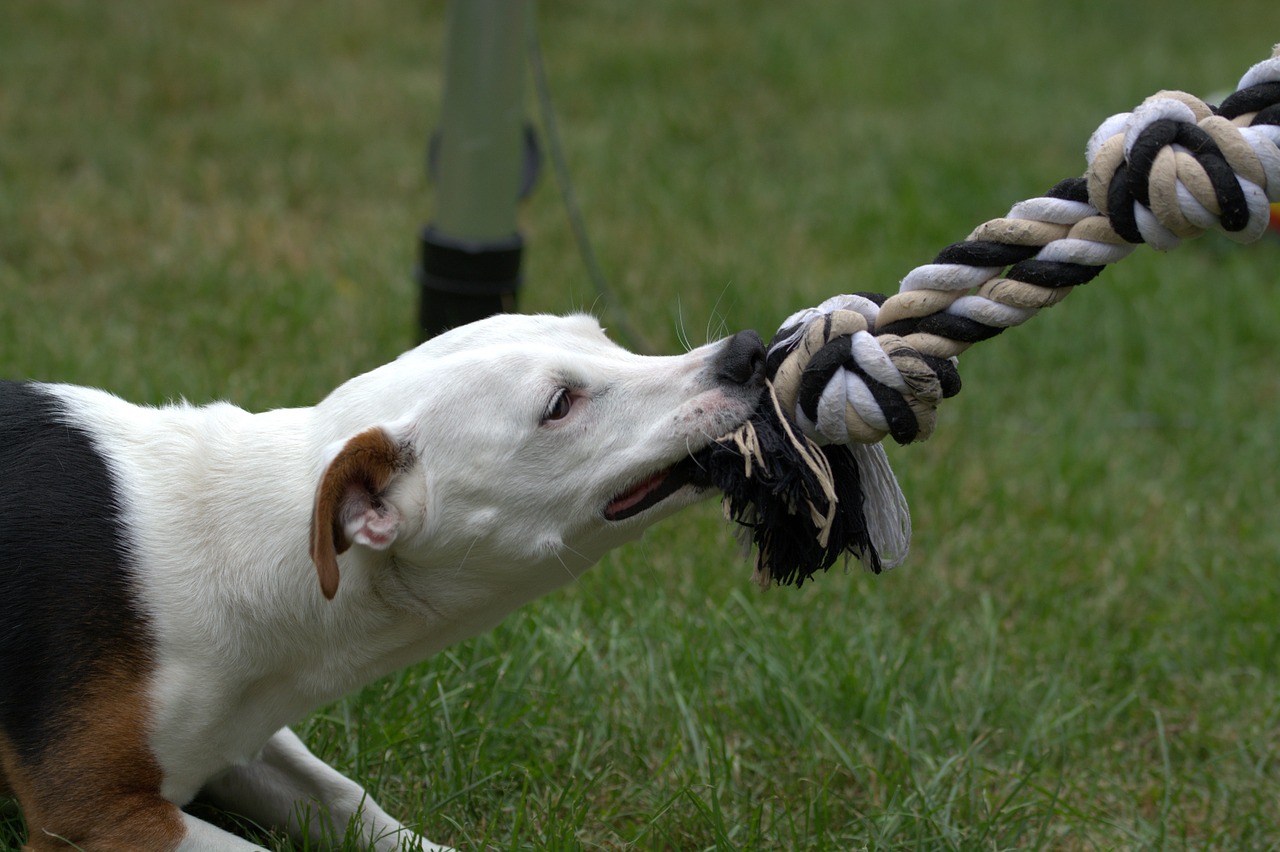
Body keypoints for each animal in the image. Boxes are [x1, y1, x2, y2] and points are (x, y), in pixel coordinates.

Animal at [0, 312, 757, 849]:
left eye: (603, 337)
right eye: (560, 405)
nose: (748, 352)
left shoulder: (241, 741)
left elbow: (348, 802)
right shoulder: (92, 815)